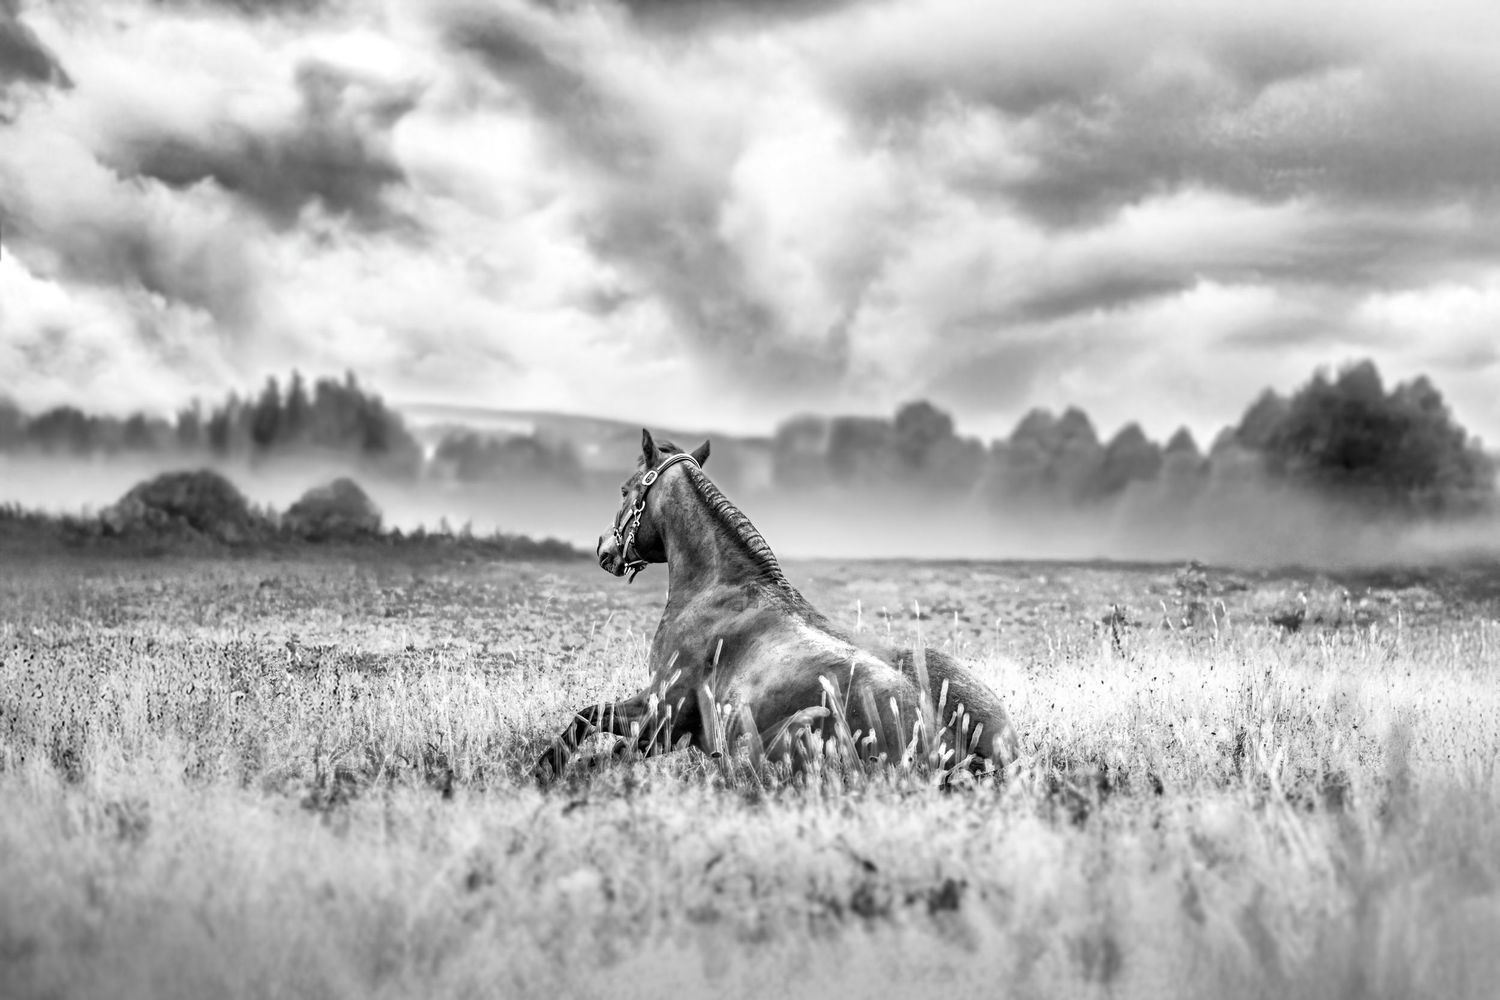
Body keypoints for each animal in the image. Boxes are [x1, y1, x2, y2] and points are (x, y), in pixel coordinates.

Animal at [533, 429, 1019, 782]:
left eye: (624, 490)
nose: (604, 549)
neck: (720, 590)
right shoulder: (660, 717)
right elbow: (594, 725)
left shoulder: (663, 716)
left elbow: (597, 733)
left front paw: (555, 771)